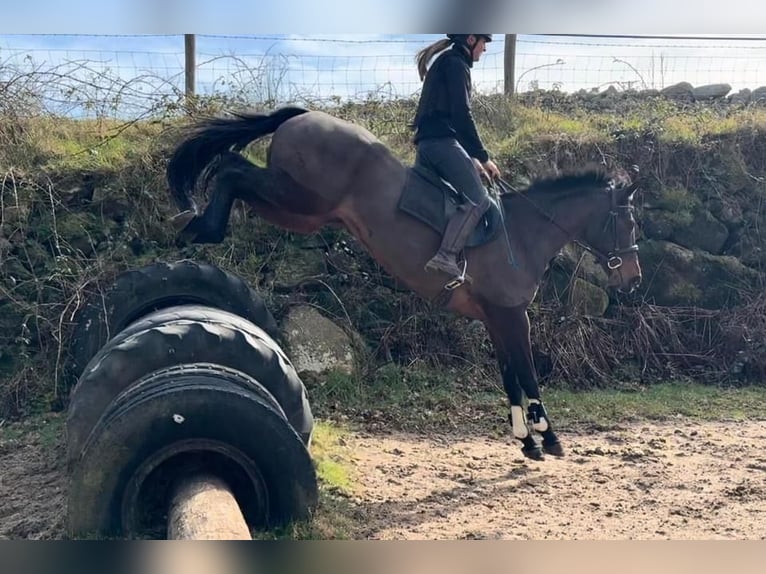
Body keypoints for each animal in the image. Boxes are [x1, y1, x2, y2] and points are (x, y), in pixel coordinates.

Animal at [166, 106, 640, 462]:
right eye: (630, 222)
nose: (632, 278)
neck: (524, 233)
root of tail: (305, 115)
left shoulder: (494, 316)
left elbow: (509, 375)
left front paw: (526, 440)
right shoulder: (511, 315)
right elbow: (526, 372)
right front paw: (549, 436)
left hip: (297, 210)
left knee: (235, 170)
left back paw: (198, 223)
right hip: (299, 197)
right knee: (232, 169)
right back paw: (200, 224)